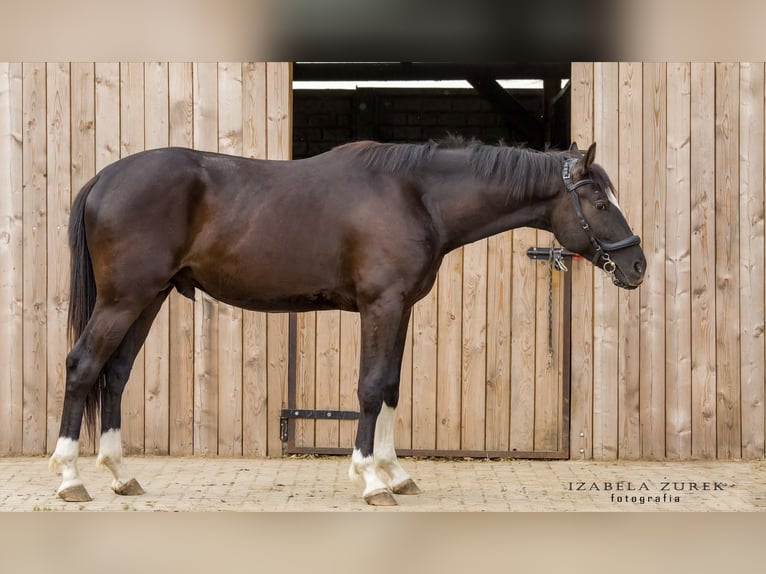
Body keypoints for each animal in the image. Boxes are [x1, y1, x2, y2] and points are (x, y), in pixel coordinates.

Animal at [49, 141, 648, 508]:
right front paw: (369, 480)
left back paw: (121, 474)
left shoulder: (401, 307)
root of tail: (104, 178)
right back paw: (70, 478)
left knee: (115, 374)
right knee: (83, 366)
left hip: (147, 298)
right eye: (599, 201)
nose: (638, 266)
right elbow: (369, 389)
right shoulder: (380, 305)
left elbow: (391, 390)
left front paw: (396, 474)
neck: (417, 195)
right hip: (123, 299)